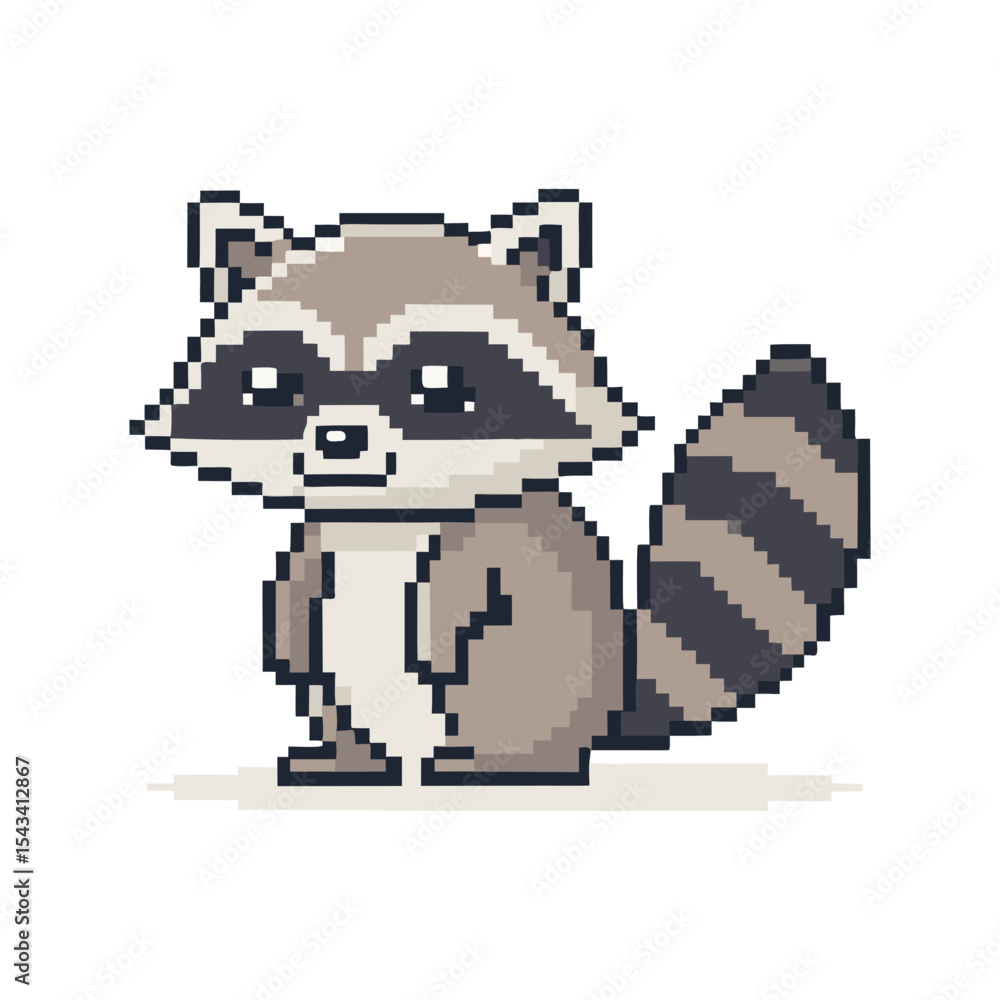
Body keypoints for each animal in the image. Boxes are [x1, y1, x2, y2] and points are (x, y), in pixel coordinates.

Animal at [132, 190, 869, 787]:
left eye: (438, 384)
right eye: (272, 384)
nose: (340, 441)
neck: (384, 518)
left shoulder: (497, 538)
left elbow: (477, 590)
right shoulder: (321, 545)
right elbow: (296, 605)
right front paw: (286, 639)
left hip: (536, 686)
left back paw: (497, 760)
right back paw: (352, 759)